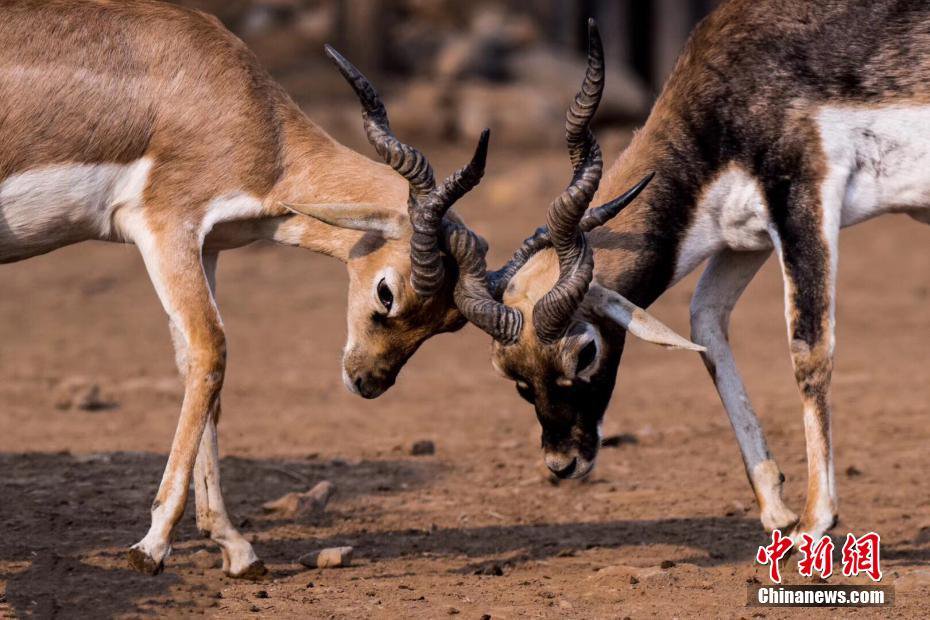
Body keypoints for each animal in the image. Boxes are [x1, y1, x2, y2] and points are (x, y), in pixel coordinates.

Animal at [0, 0, 490, 580]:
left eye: (449, 323)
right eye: (387, 292)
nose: (369, 381)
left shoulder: (206, 247)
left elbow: (196, 366)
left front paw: (235, 546)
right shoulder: (165, 227)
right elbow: (213, 349)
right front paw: (151, 547)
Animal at [452, 3, 928, 548]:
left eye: (586, 352)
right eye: (512, 376)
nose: (562, 463)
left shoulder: (803, 199)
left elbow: (809, 351)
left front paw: (813, 522)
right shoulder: (744, 240)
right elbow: (706, 327)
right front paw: (776, 511)